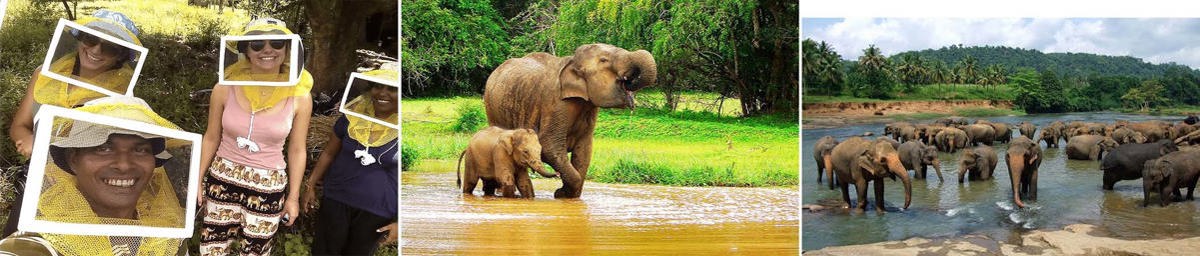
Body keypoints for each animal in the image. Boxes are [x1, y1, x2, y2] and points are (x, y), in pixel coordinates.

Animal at [482, 43, 662, 198]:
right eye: (604, 60)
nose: (629, 81)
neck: (572, 62)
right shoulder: (555, 103)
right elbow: (549, 146)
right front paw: (561, 194)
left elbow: (584, 152)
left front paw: (565, 195)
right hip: (492, 108)